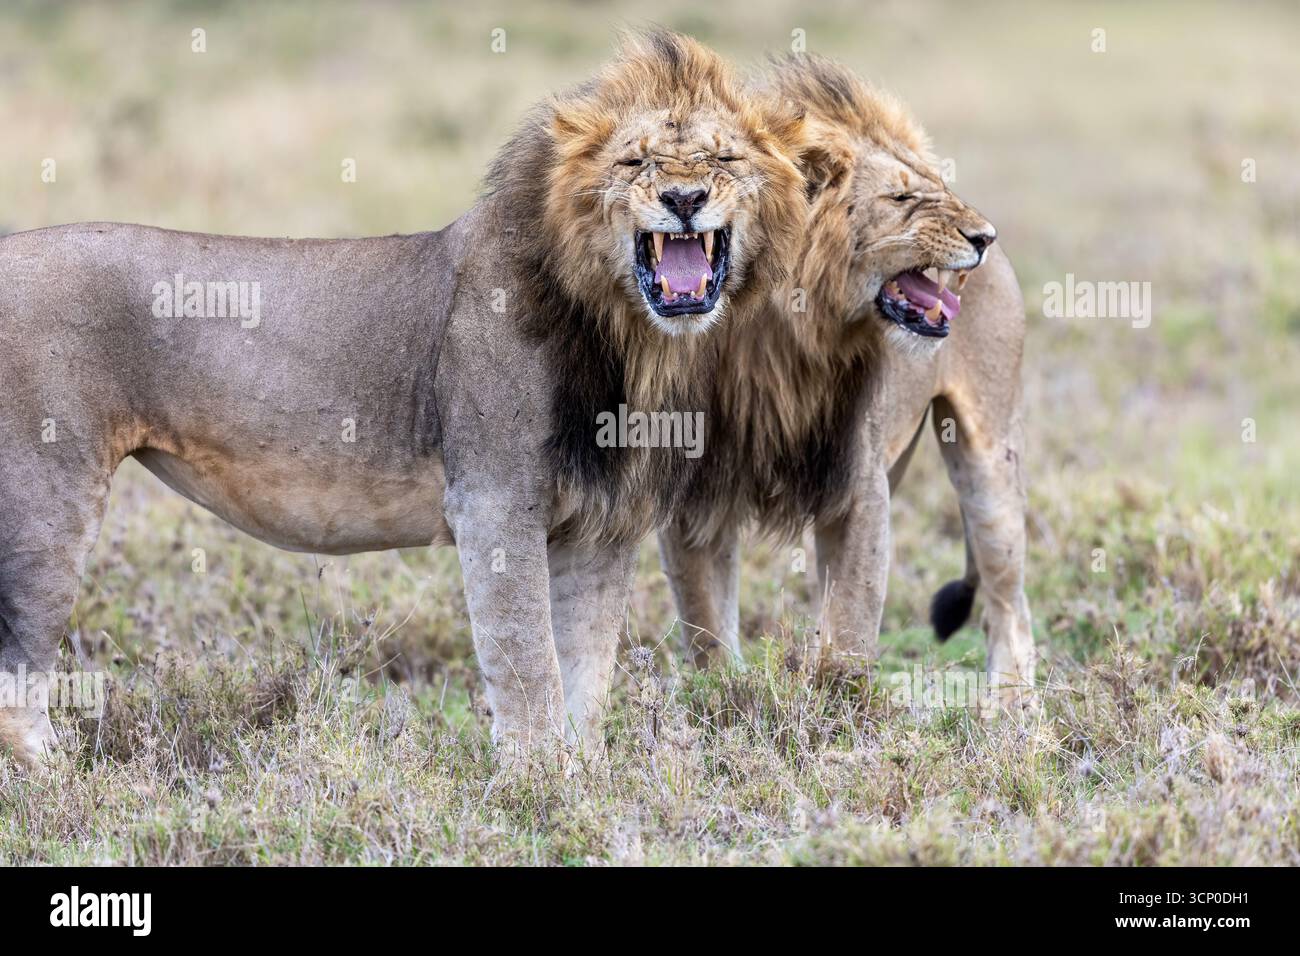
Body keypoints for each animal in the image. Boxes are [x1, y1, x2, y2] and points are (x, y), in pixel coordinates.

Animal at [0, 31, 810, 767]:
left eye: (725, 161)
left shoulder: (600, 527)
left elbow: (585, 668)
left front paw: (582, 775)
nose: (684, 199)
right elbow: (527, 662)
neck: (629, 337)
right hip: (49, 501)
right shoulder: (493, 501)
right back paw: (60, 781)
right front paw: (537, 782)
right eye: (635, 162)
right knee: (20, 676)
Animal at [659, 55, 1035, 704]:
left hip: (988, 454)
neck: (773, 337)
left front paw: (840, 709)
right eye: (902, 196)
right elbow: (706, 625)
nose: (984, 237)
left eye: (935, 189)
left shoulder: (857, 485)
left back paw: (1011, 711)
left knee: (1009, 600)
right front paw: (724, 699)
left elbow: (851, 628)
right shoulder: (694, 494)